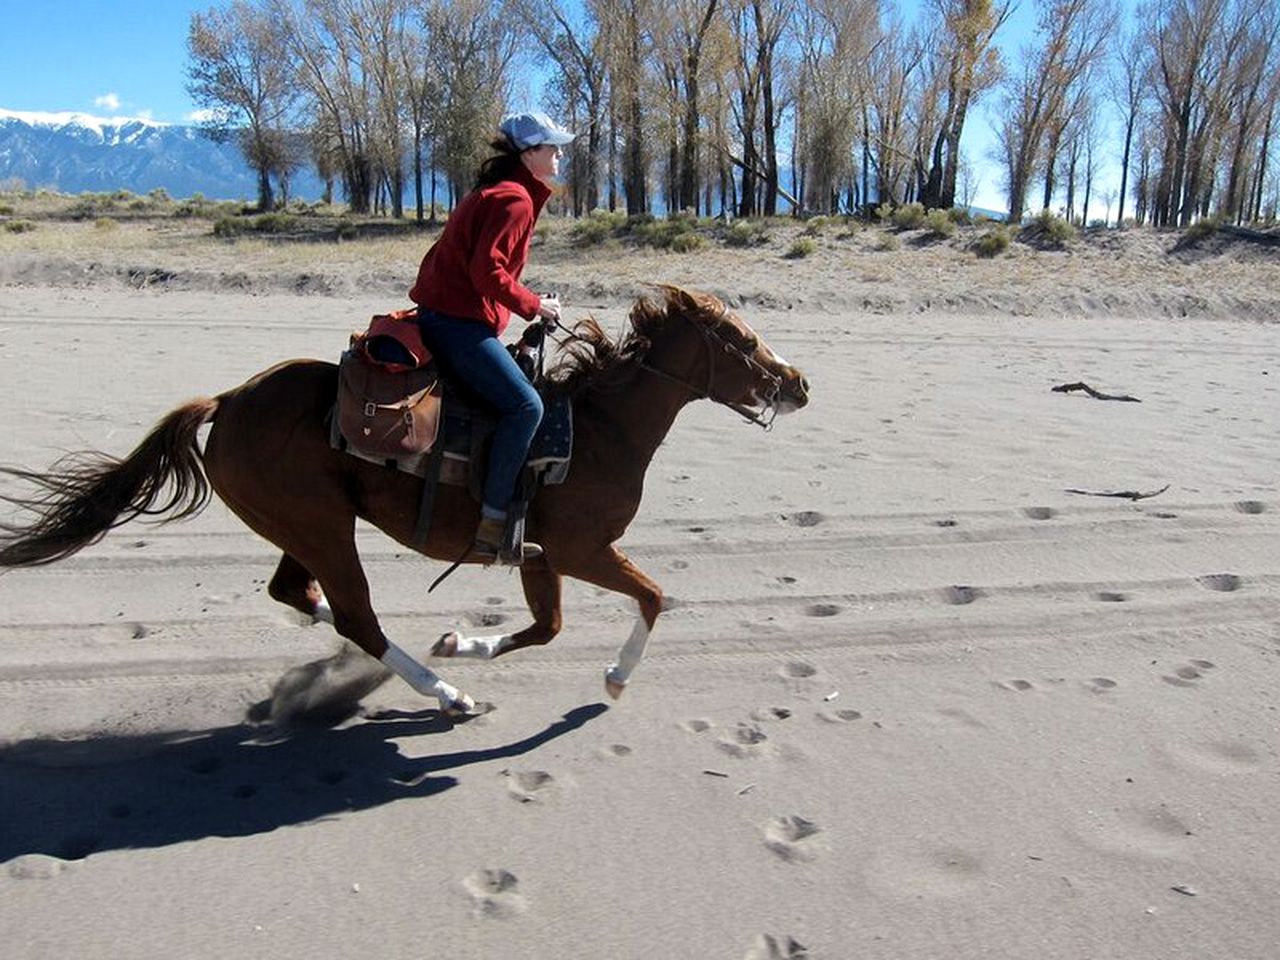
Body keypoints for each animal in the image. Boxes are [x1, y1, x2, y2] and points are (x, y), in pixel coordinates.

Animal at [0, 285, 808, 716]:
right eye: (739, 339)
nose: (798, 382)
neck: (599, 428)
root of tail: (227, 402)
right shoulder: (580, 548)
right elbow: (652, 596)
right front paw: (614, 676)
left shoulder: (538, 555)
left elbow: (545, 627)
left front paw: (461, 640)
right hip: (322, 527)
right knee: (357, 614)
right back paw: (443, 693)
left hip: (303, 527)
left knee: (299, 594)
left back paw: (396, 668)